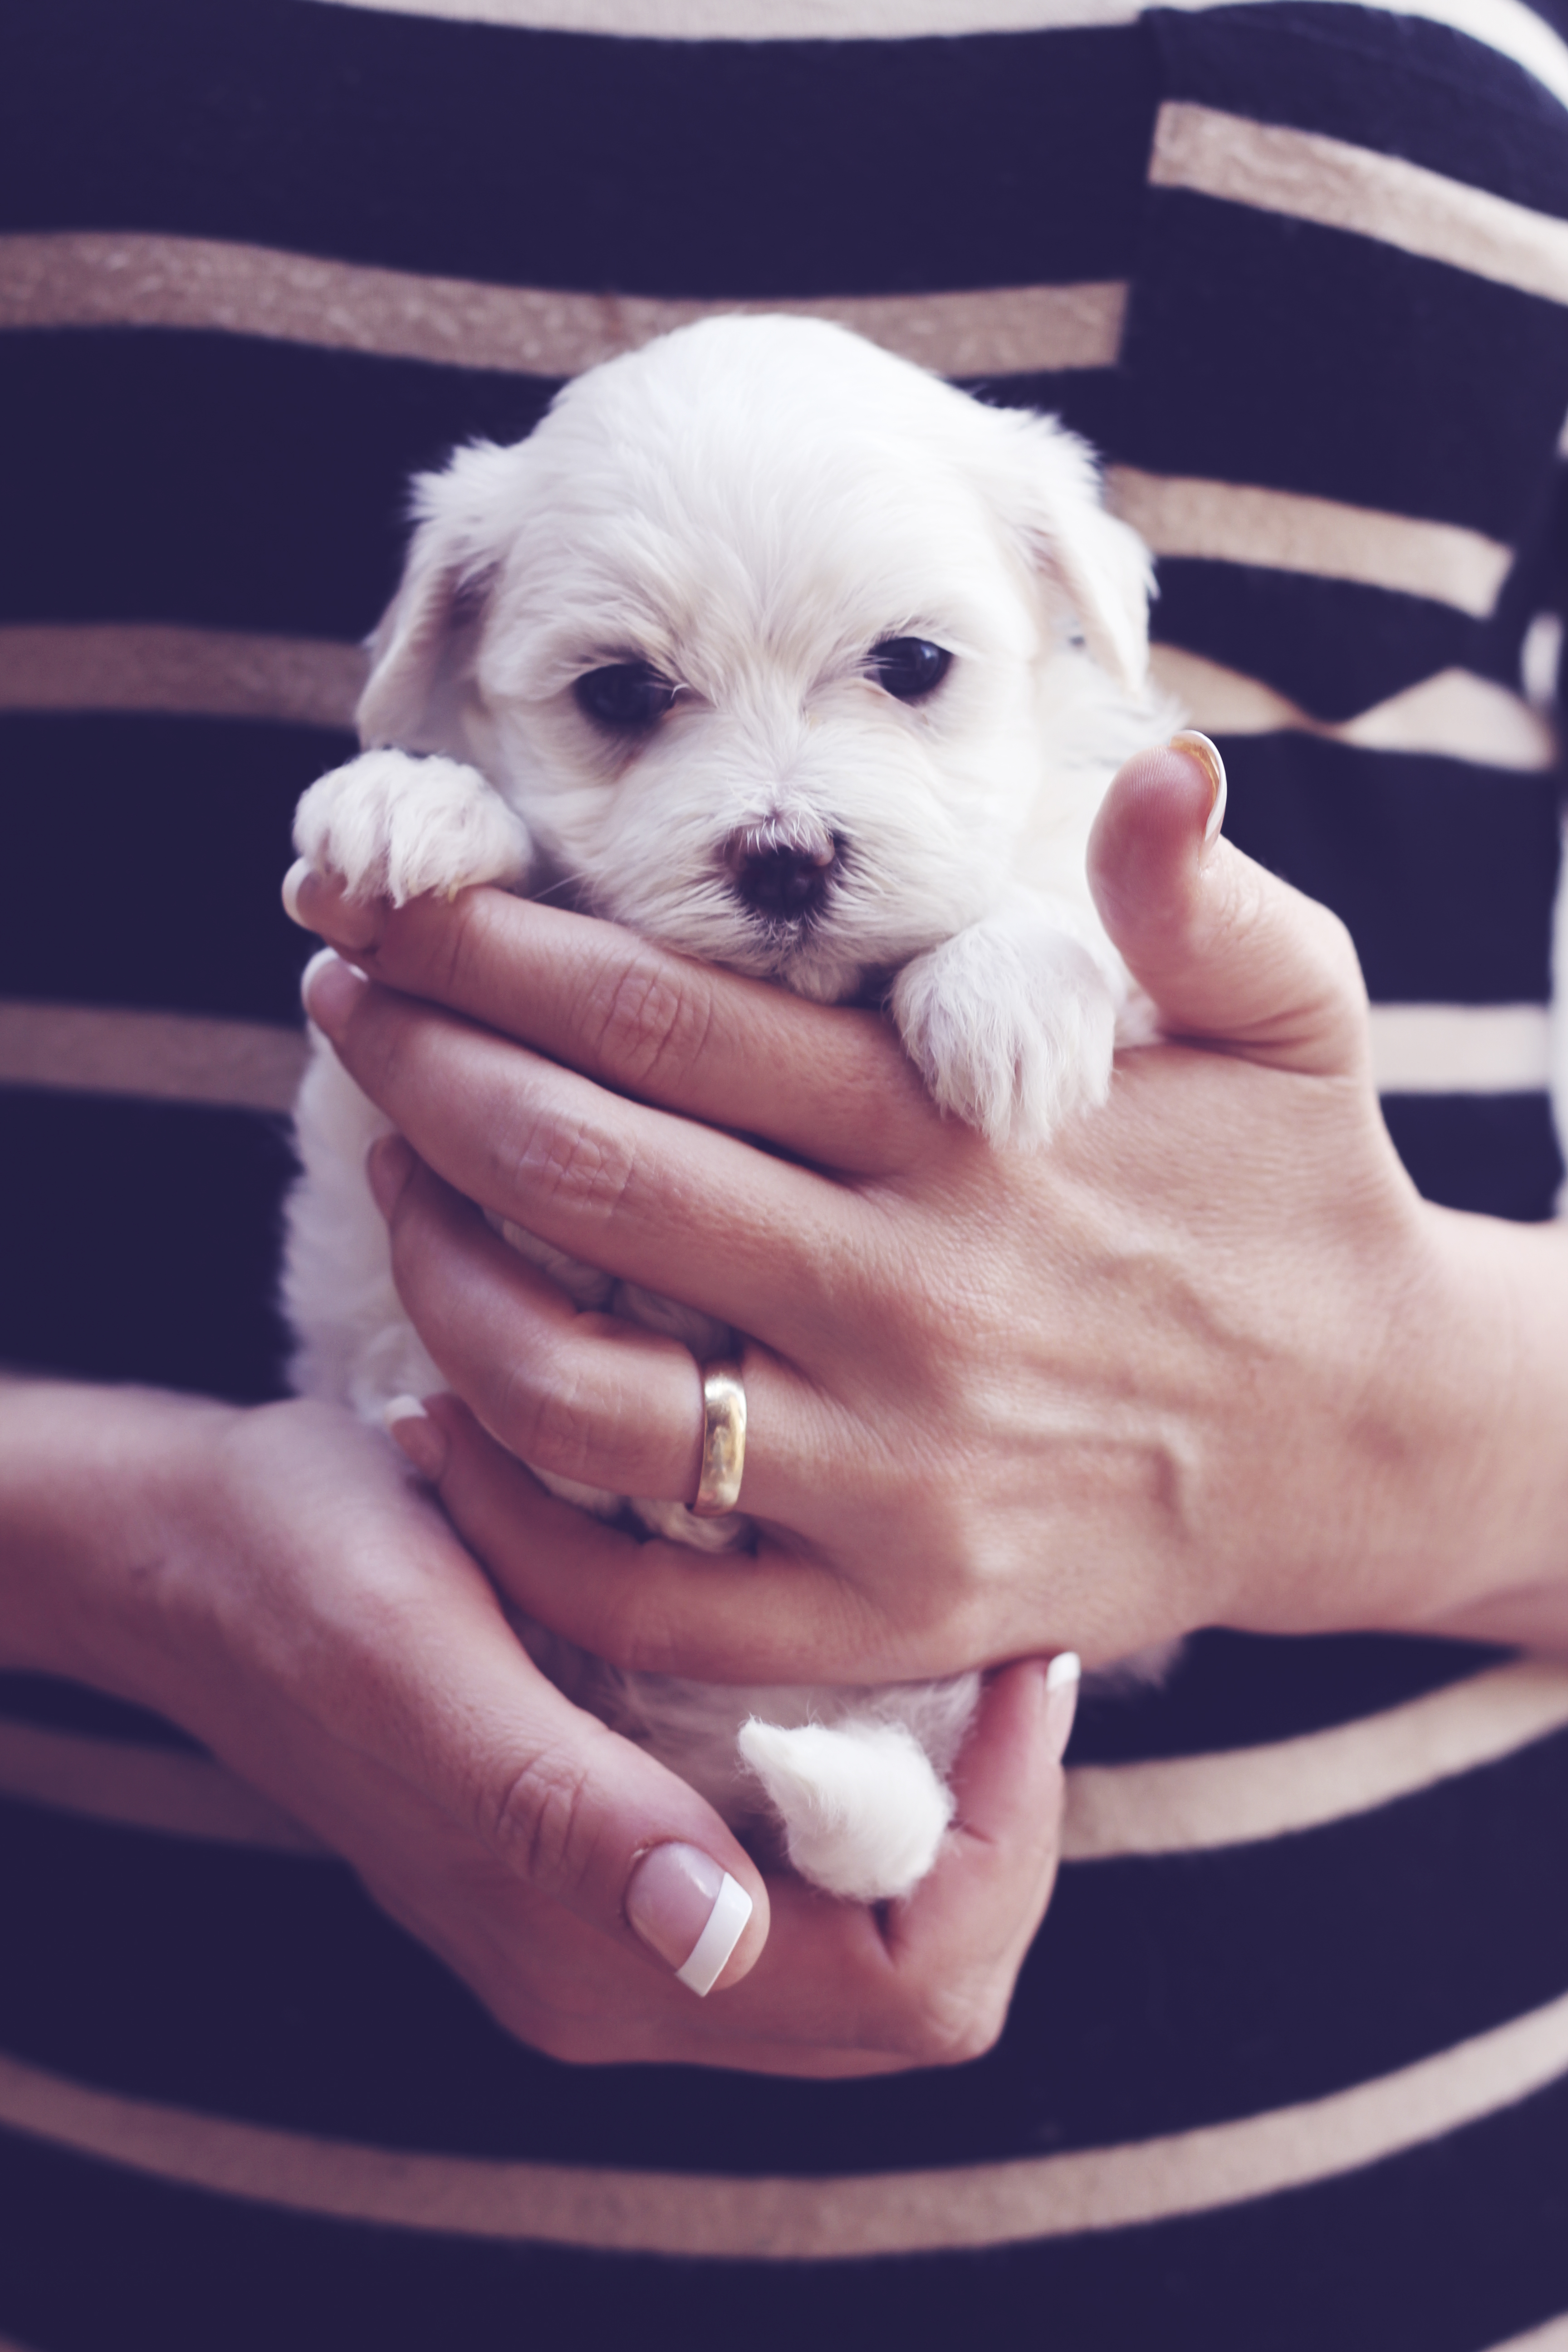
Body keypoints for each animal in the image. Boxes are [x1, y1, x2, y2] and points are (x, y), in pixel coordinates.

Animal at [285, 313, 1166, 1900]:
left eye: (913, 664)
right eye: (624, 695)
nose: (786, 854)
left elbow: (1058, 871)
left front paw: (1005, 991)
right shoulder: (363, 1118)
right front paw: (417, 805)